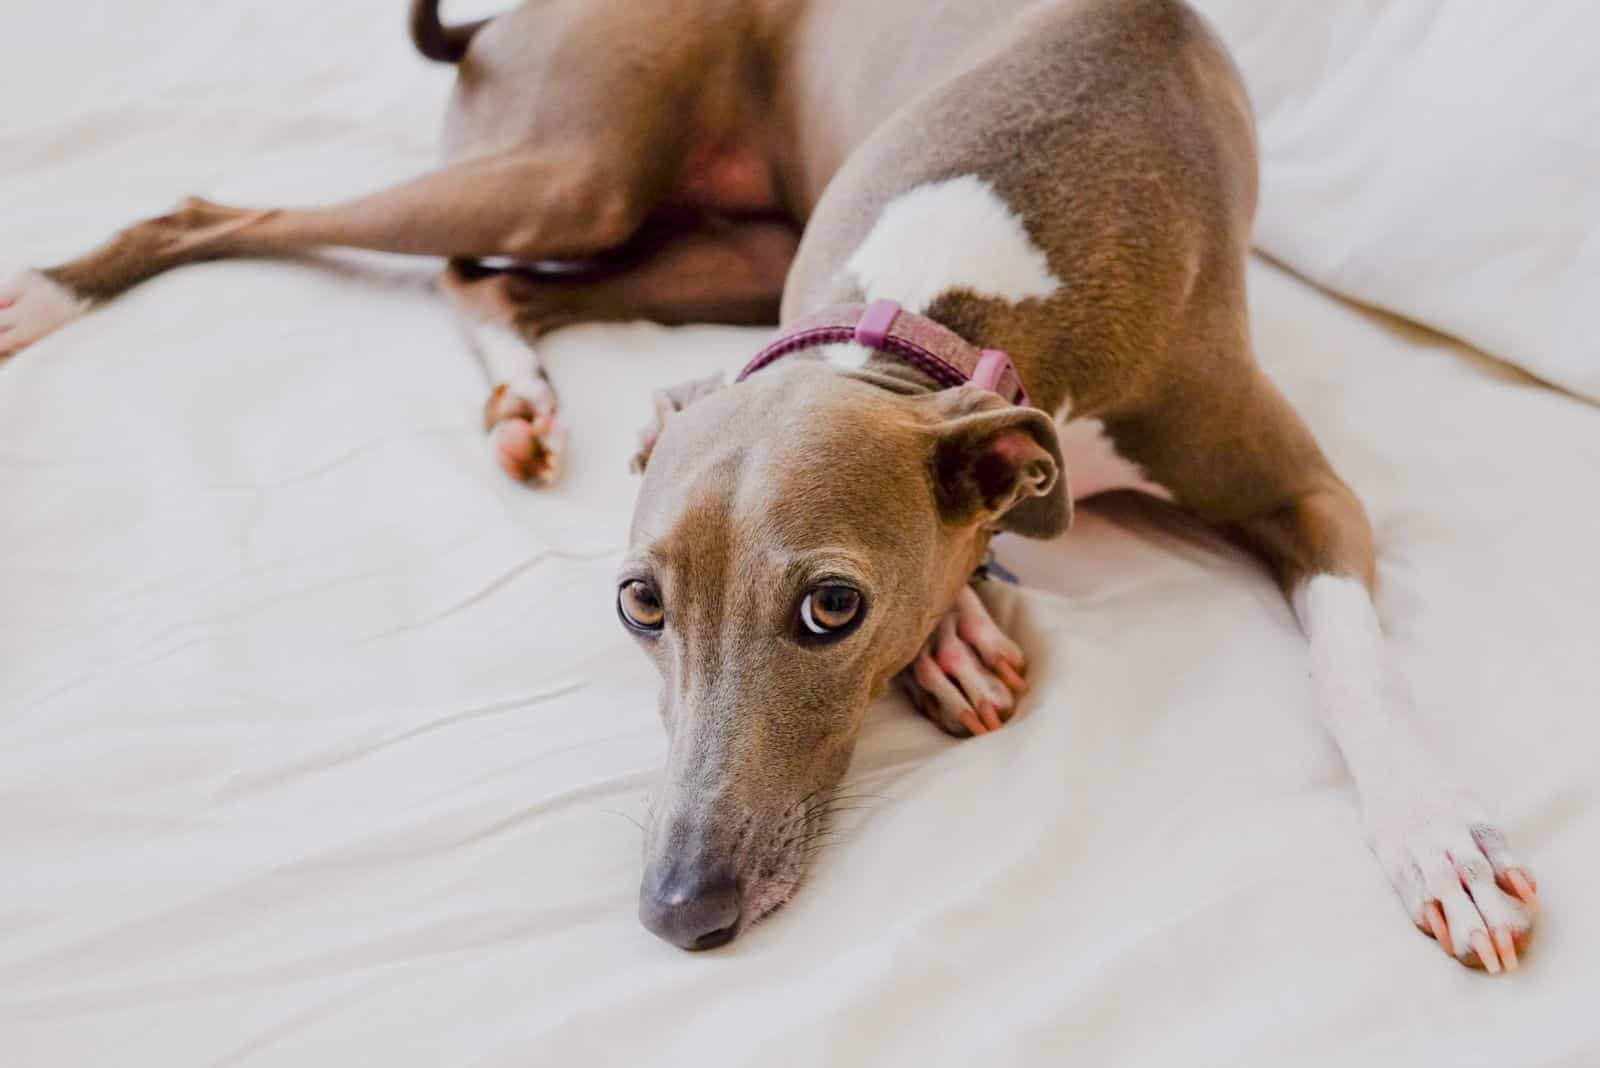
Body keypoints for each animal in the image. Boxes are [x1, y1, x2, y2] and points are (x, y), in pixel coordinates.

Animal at [6, 0, 1542, 965]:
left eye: (830, 610)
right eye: (638, 605)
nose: (678, 910)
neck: (936, 315)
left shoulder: (1307, 493)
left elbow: (1352, 663)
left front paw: (1438, 842)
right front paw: (964, 630)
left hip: (702, 236)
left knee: (476, 274)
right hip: (580, 170)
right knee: (259, 219)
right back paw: (61, 292)